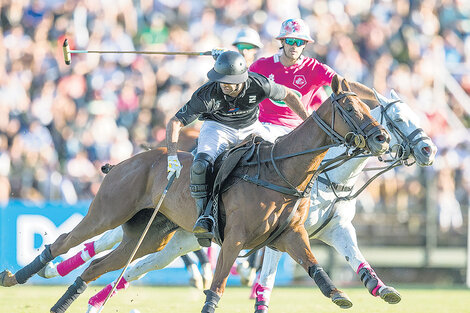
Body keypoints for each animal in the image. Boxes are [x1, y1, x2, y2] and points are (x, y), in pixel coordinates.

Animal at [0, 75, 390, 312]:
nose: (382, 138)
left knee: (98, 265)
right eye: (351, 109)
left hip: (148, 235)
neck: (280, 170)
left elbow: (314, 267)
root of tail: (127, 160)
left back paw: (63, 304)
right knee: (65, 240)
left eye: (370, 108)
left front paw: (342, 294)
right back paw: (16, 277)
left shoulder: (289, 235)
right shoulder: (234, 238)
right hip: (107, 212)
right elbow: (216, 286)